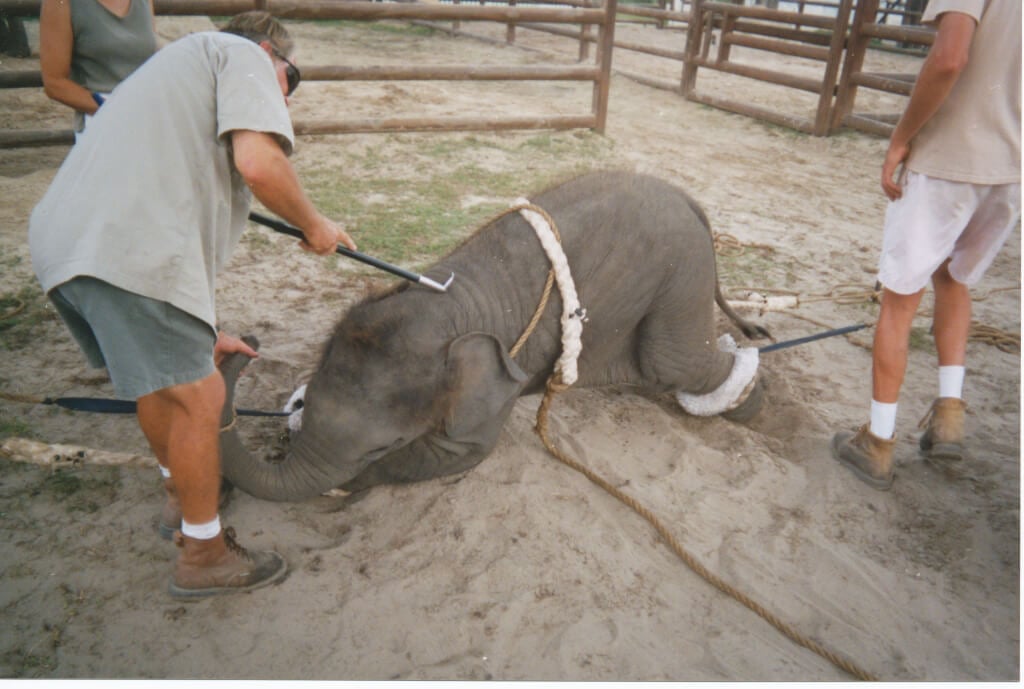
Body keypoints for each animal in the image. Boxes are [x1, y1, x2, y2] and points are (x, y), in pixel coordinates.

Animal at [222, 170, 770, 499]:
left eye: (382, 446)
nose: (247, 343)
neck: (449, 306)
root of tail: (688, 198)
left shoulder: (497, 384)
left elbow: (461, 453)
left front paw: (347, 486)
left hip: (680, 273)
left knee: (674, 361)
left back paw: (752, 401)